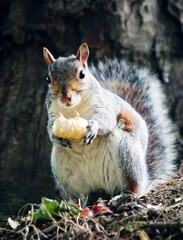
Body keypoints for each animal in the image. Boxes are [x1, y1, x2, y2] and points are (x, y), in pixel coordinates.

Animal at [42, 42, 177, 202]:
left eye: (82, 74)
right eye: (48, 79)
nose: (65, 98)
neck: (74, 107)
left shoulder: (103, 106)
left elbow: (107, 120)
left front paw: (93, 127)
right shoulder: (53, 114)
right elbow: (50, 127)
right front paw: (54, 137)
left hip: (126, 153)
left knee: (134, 185)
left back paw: (127, 195)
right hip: (63, 167)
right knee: (81, 195)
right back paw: (75, 202)